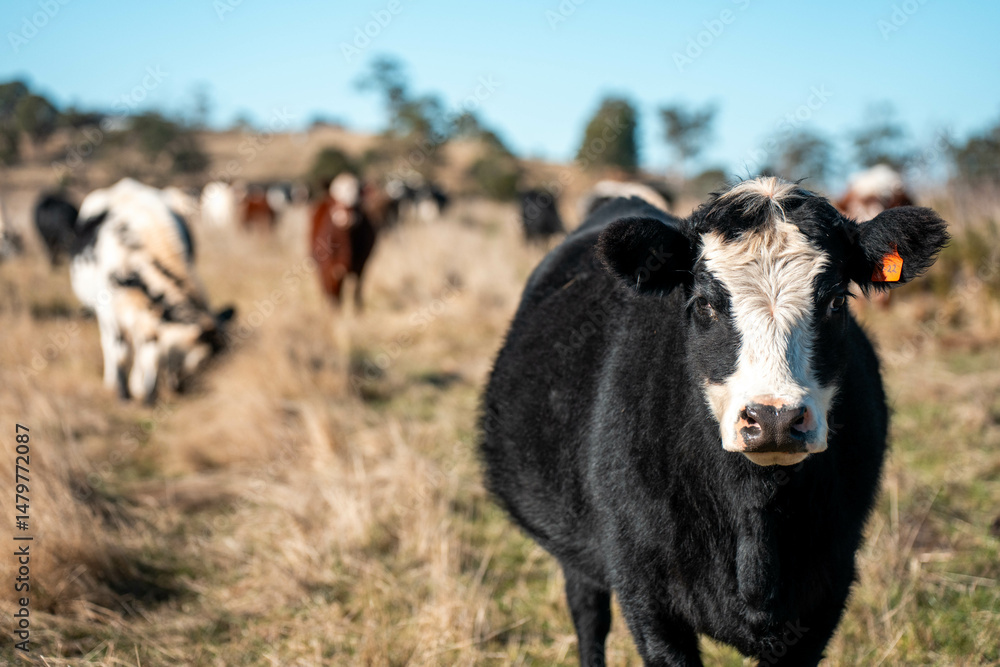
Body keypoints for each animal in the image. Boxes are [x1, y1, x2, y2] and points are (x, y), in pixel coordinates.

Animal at [70, 178, 235, 403]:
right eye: (201, 361)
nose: (179, 387)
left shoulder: (153, 320)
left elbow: (150, 355)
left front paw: (147, 394)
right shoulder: (111, 312)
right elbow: (121, 353)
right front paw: (123, 394)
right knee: (109, 345)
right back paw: (111, 380)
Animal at [310, 173, 379, 310]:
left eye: (358, 198)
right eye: (335, 198)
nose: (347, 217)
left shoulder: (361, 264)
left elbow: (357, 289)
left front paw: (358, 309)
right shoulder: (329, 265)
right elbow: (333, 286)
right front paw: (334, 308)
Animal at [480, 177, 948, 666]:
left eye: (837, 300)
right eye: (704, 303)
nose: (774, 417)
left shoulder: (826, 588)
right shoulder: (646, 594)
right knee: (589, 617)